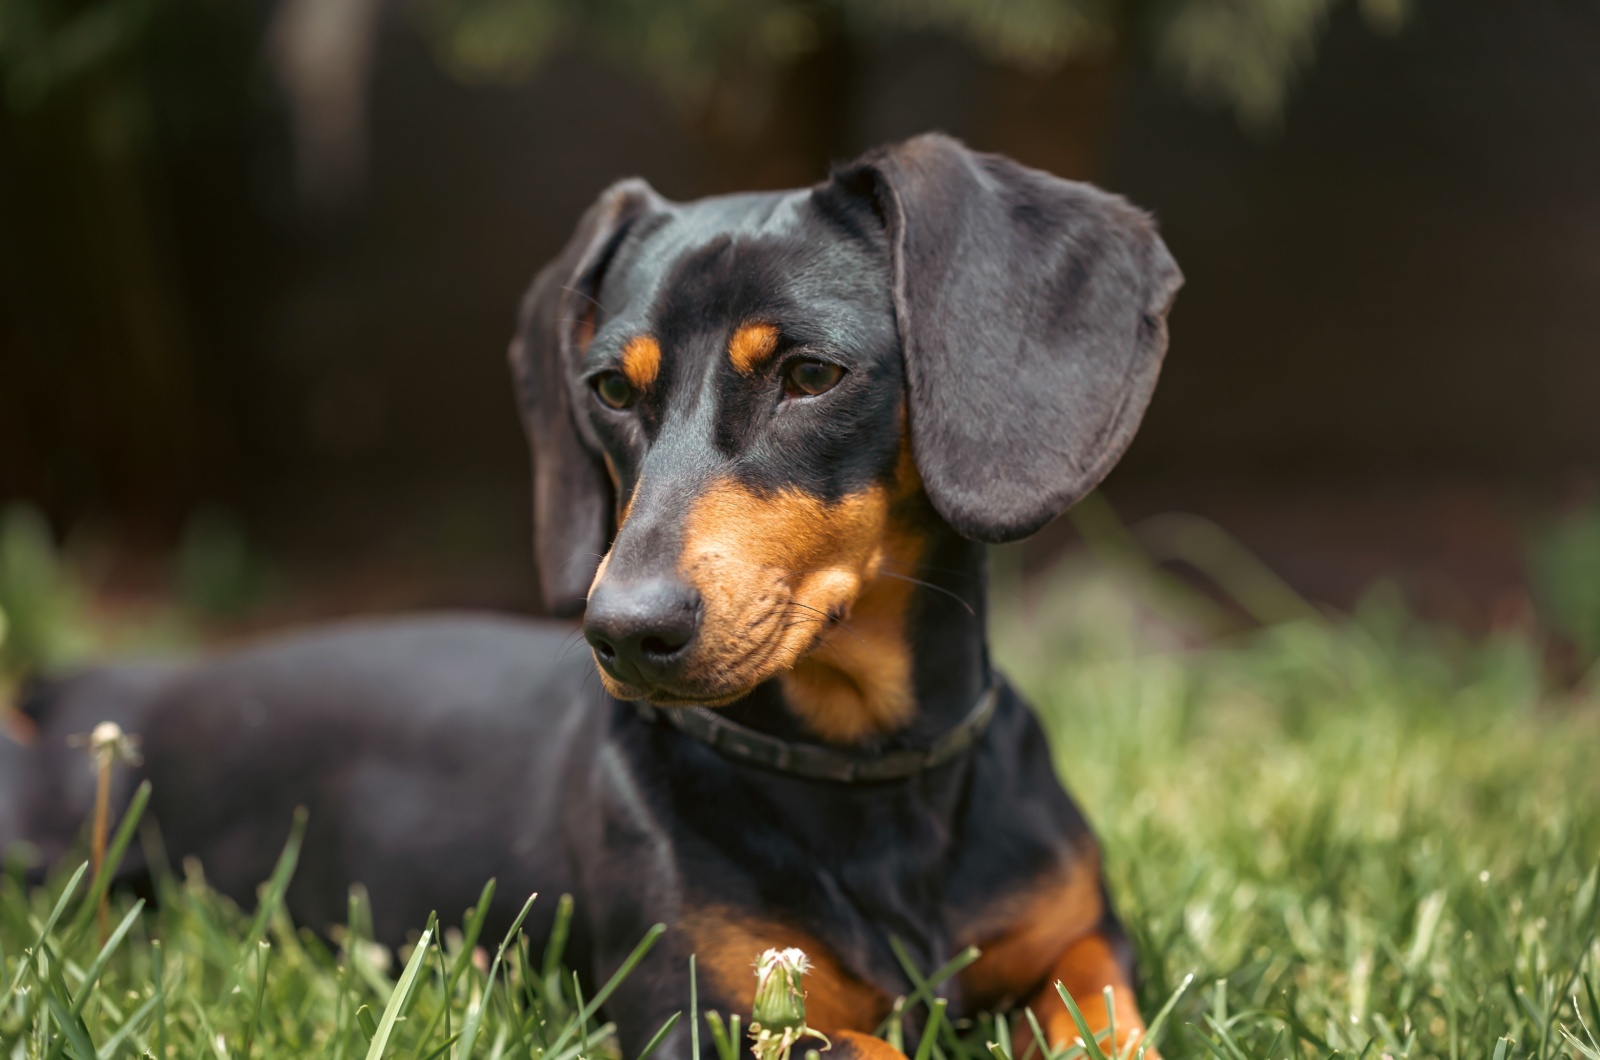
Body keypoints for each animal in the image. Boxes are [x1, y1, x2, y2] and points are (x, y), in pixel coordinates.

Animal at [3, 132, 1177, 1060]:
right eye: (610, 389)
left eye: (810, 375)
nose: (622, 633)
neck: (874, 783)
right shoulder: (707, 1015)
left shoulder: (1085, 944)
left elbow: (1109, 1023)